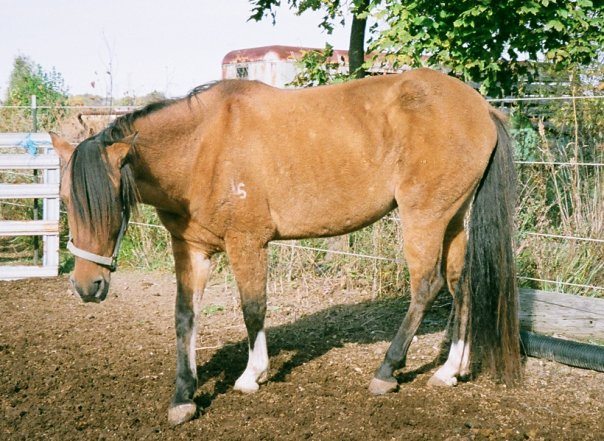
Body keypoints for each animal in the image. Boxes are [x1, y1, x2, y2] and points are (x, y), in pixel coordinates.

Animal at [50, 68, 521, 426]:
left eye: (113, 204)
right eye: (66, 200)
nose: (86, 286)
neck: (203, 147)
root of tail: (482, 107)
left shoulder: (247, 242)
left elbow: (253, 307)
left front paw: (252, 375)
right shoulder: (191, 248)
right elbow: (185, 317)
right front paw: (183, 395)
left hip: (424, 218)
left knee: (427, 284)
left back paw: (387, 370)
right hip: (453, 219)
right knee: (461, 285)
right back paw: (450, 371)